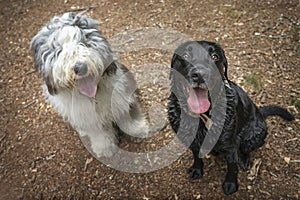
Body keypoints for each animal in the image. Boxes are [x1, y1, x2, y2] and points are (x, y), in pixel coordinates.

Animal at [168, 40, 294, 195]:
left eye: (215, 56)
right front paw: (197, 169)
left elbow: (232, 167)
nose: (200, 74)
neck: (203, 116)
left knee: (246, 148)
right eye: (185, 55)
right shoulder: (191, 141)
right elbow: (196, 156)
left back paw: (244, 159)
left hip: (255, 134)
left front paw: (231, 184)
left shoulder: (230, 146)